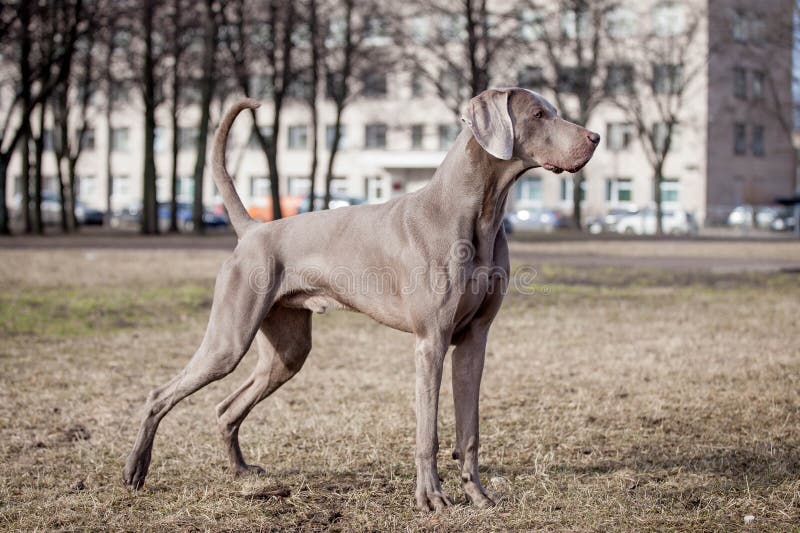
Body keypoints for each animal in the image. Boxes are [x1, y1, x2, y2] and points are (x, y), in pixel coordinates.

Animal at [123, 88, 600, 512]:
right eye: (538, 114)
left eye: (554, 111)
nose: (595, 137)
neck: (477, 212)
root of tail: (253, 229)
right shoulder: (431, 342)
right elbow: (427, 433)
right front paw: (431, 498)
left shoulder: (474, 340)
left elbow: (470, 431)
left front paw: (479, 496)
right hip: (229, 338)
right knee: (160, 394)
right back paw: (135, 470)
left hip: (287, 351)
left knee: (227, 408)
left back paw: (242, 472)